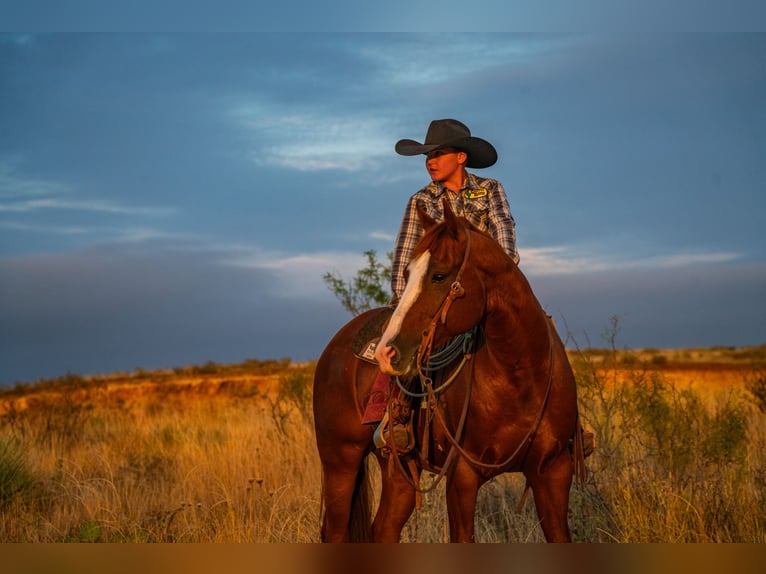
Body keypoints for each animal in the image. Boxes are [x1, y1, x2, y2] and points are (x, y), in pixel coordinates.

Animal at [313, 199, 587, 543]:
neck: (521, 375)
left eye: (440, 275)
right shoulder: (462, 477)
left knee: (384, 528)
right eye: (407, 272)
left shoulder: (553, 472)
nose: (387, 352)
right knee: (336, 530)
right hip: (341, 461)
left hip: (398, 470)